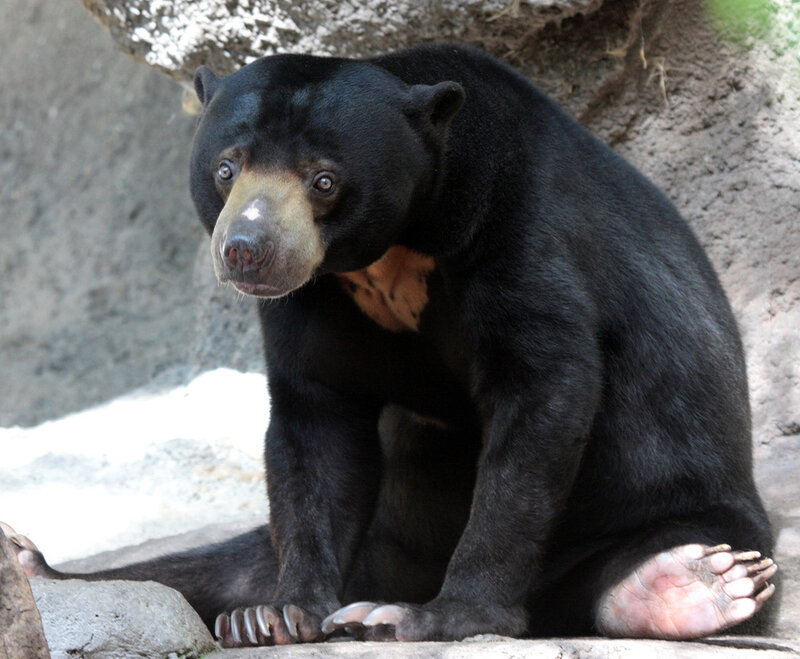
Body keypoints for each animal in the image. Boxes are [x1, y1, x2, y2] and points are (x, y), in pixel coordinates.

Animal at [3, 43, 777, 647]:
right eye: (227, 166)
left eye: (323, 179)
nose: (248, 250)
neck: (393, 248)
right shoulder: (313, 295)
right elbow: (317, 417)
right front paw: (284, 615)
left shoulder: (515, 228)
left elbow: (542, 389)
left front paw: (430, 617)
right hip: (380, 534)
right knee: (219, 565)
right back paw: (54, 569)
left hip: (678, 494)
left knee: (655, 548)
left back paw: (697, 580)